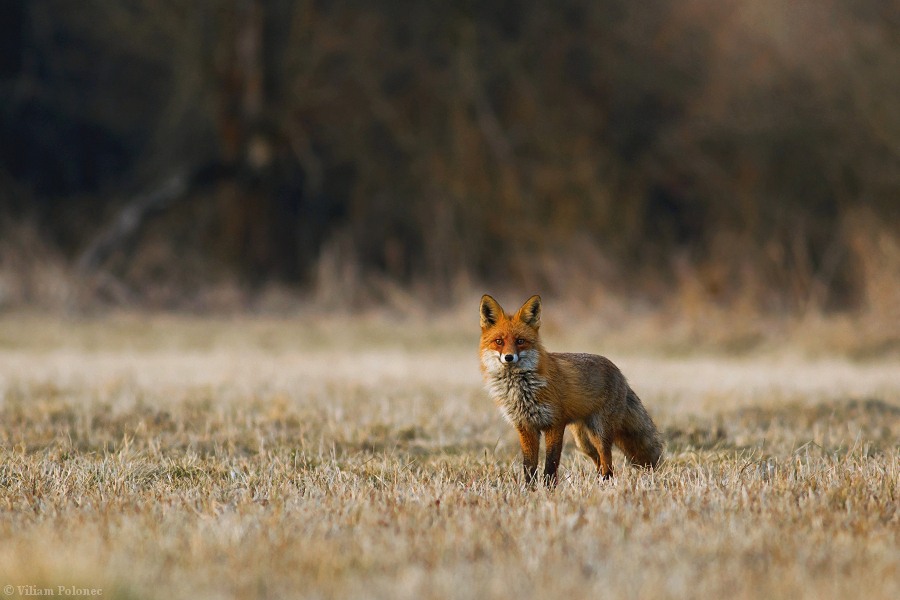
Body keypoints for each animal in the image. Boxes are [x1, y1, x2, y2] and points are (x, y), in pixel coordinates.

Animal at [482, 296, 664, 488]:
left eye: (520, 341)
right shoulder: (525, 427)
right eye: (499, 341)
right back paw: (598, 484)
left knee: (608, 462)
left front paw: (549, 489)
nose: (509, 357)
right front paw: (530, 490)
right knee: (599, 462)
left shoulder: (555, 424)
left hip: (599, 433)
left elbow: (551, 462)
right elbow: (529, 466)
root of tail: (619, 373)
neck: (522, 390)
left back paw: (605, 485)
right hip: (584, 442)